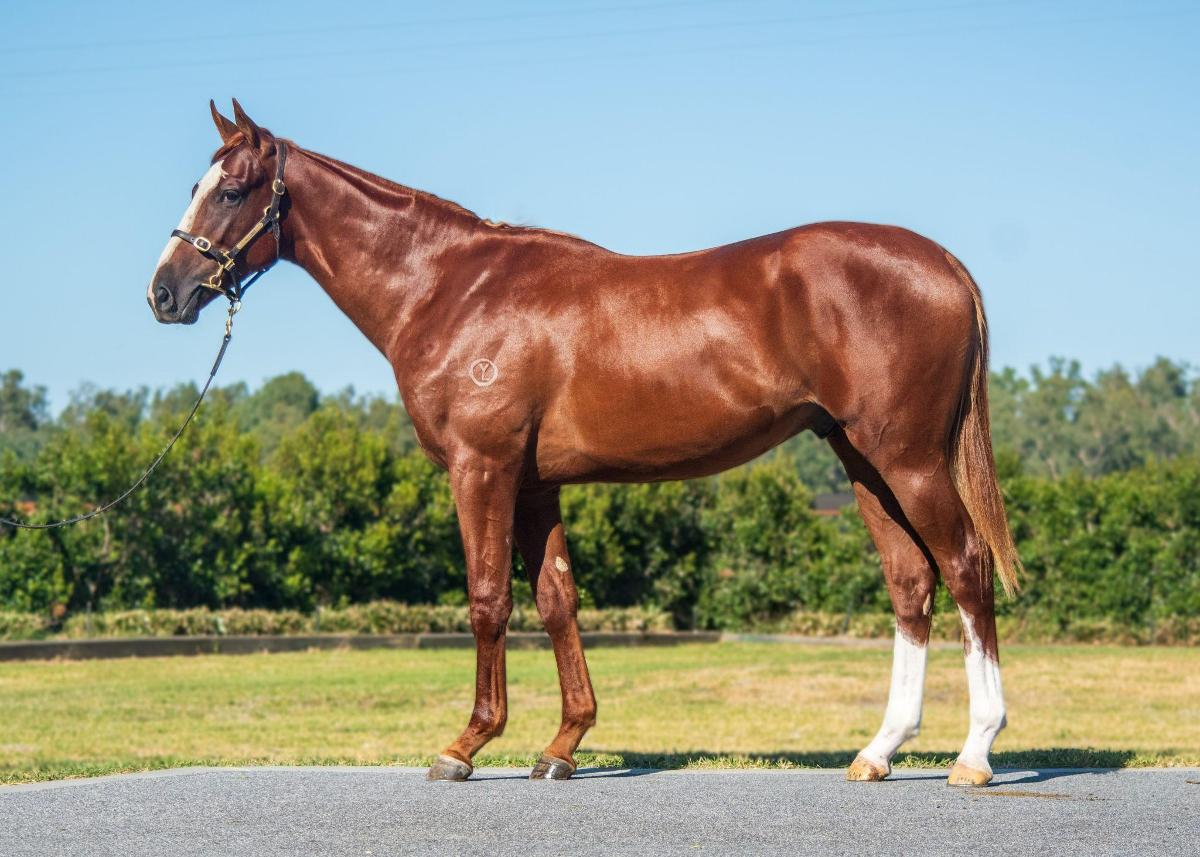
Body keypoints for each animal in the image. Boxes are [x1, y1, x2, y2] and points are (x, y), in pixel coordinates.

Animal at [149, 100, 1021, 787]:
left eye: (232, 189)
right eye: (195, 186)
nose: (164, 293)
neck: (449, 287)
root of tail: (943, 264)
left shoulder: (483, 470)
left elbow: (489, 599)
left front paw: (466, 744)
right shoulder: (537, 483)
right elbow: (557, 600)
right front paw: (562, 744)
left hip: (908, 459)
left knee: (965, 566)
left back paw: (975, 752)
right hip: (863, 460)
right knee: (911, 582)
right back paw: (878, 751)